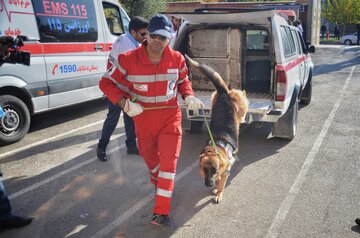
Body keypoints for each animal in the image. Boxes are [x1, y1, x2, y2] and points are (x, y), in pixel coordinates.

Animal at [186, 54, 248, 204]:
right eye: (204, 169)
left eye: (214, 169)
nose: (208, 184)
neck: (216, 147)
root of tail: (223, 94)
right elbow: (219, 181)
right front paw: (215, 188)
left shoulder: (225, 171)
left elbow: (222, 183)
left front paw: (218, 192)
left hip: (239, 103)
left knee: (242, 102)